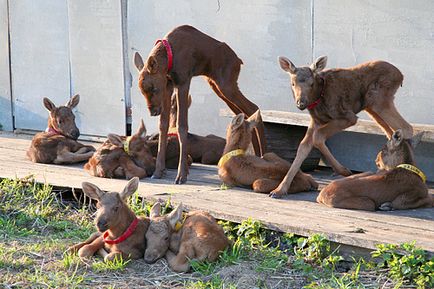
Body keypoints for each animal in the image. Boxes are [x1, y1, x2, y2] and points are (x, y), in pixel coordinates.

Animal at [135, 23, 264, 183]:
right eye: (142, 91)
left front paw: (182, 175)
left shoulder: (183, 82)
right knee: (246, 113)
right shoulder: (168, 84)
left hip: (227, 86)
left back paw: (263, 155)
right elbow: (163, 126)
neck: (168, 58)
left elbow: (181, 126)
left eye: (154, 88)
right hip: (217, 86)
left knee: (253, 108)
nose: (153, 111)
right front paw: (159, 171)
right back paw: (257, 155)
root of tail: (239, 61)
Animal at [272, 55, 414, 198]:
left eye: (311, 84)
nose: (301, 103)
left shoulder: (348, 117)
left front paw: (343, 170)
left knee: (407, 128)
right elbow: (303, 147)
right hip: (371, 107)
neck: (318, 99)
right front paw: (279, 190)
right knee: (391, 133)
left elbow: (318, 137)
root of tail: (401, 76)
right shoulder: (316, 121)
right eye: (293, 83)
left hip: (379, 100)